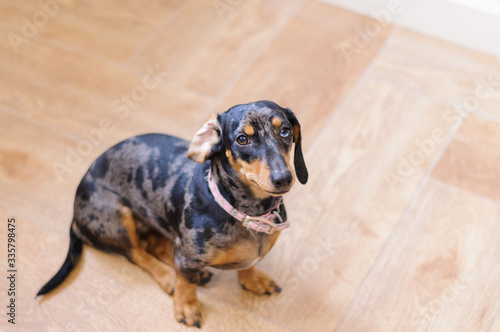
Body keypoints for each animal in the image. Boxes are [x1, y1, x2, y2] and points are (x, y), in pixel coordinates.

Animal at [37, 100, 306, 326]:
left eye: (285, 131)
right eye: (242, 139)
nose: (283, 178)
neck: (246, 212)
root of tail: (75, 210)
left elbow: (248, 266)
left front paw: (253, 280)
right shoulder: (187, 258)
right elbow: (186, 283)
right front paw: (186, 306)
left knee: (157, 247)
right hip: (118, 218)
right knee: (138, 254)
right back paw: (169, 278)